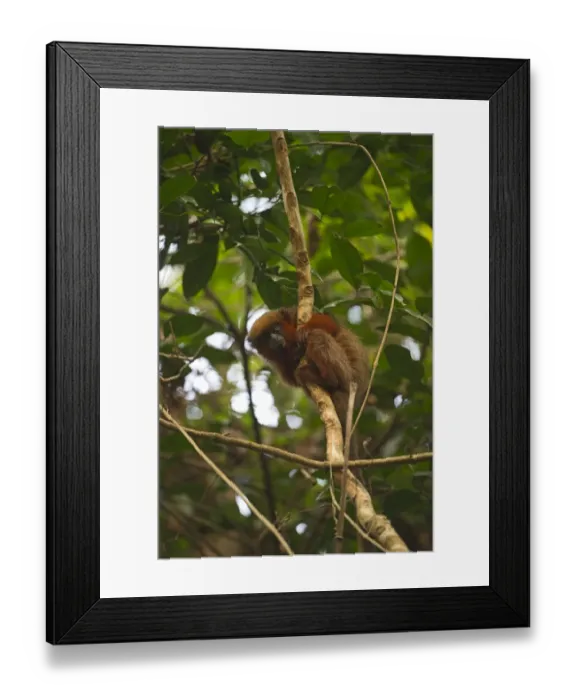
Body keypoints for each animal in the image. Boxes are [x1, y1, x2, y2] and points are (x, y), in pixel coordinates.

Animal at [247, 307, 370, 455]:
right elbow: (292, 378)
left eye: (276, 330)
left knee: (317, 335)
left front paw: (303, 332)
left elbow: (330, 325)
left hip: (347, 374)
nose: (274, 339)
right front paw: (295, 355)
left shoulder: (294, 314)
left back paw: (328, 378)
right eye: (266, 338)